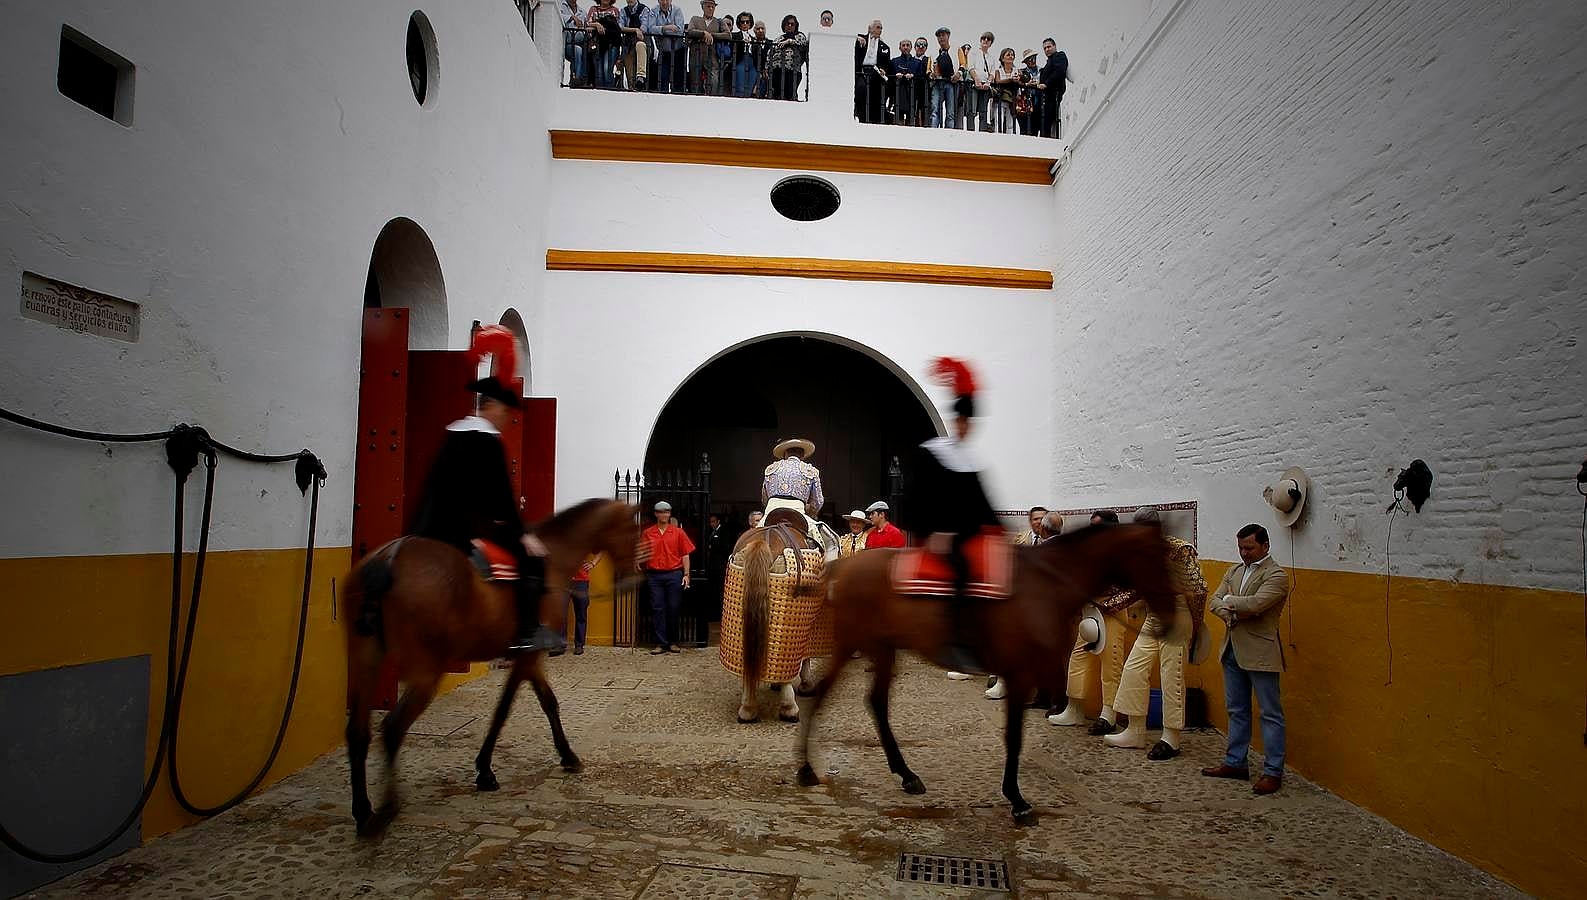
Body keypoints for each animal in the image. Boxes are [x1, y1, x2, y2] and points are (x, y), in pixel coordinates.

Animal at [341, 495, 637, 831]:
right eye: (634, 531)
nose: (631, 579)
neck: (554, 557)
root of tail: (388, 558)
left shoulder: (527, 658)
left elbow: (547, 701)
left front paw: (564, 755)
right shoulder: (528, 655)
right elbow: (507, 708)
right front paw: (486, 769)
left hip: (366, 658)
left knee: (358, 731)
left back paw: (363, 810)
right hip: (426, 670)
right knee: (392, 728)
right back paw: (387, 809)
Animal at [793, 523, 1180, 825]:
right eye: (1156, 559)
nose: (1169, 616)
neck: (1046, 585)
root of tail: (842, 567)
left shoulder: (1025, 672)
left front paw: (1015, 796)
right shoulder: (1020, 673)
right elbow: (1014, 737)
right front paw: (1018, 801)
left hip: (883, 648)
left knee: (875, 703)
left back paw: (906, 775)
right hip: (851, 643)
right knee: (823, 695)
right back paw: (807, 768)